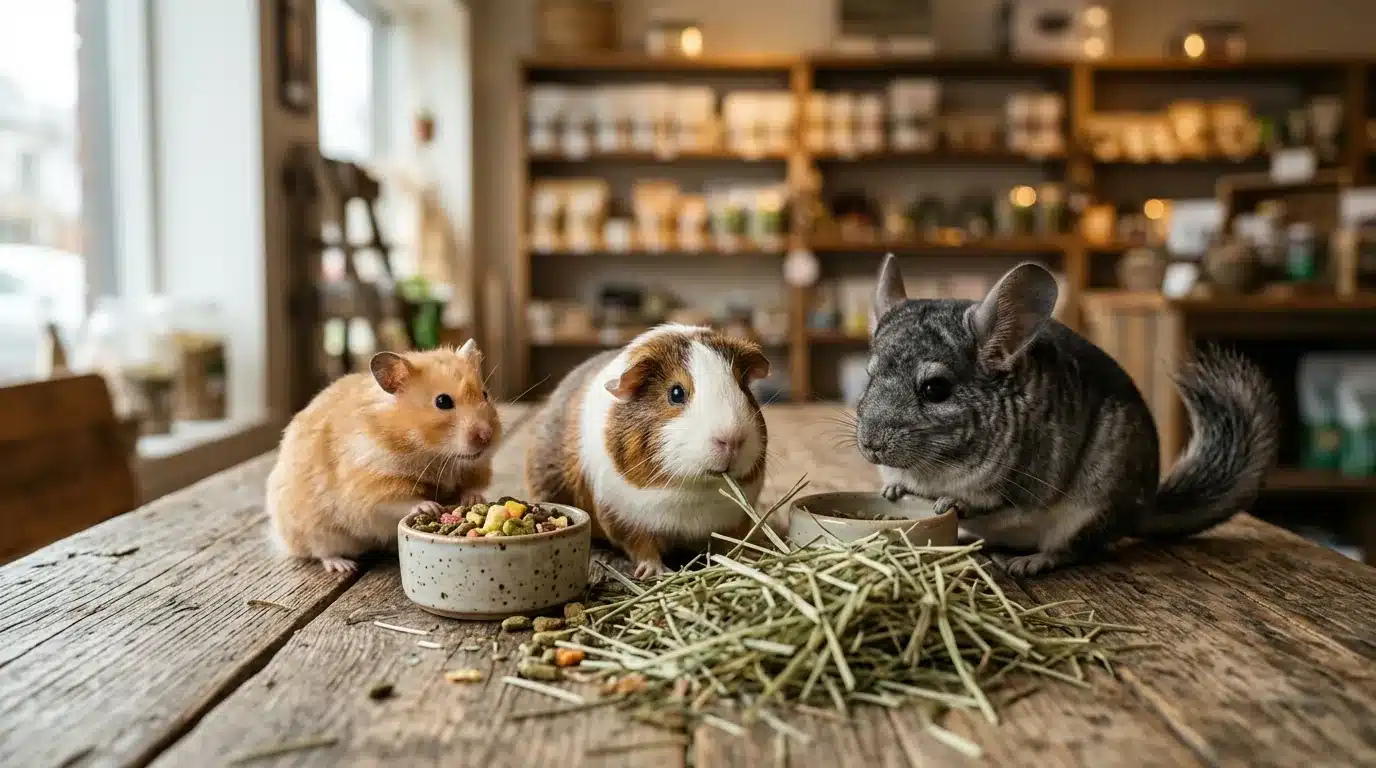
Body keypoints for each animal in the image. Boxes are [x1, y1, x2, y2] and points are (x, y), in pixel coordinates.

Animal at [266, 340, 502, 573]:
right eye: (443, 401)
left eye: (484, 394)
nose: (487, 436)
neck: (436, 454)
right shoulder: (371, 484)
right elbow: (399, 500)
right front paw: (429, 506)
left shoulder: (475, 468)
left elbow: (471, 486)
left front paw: (474, 499)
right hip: (316, 531)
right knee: (320, 552)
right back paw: (344, 566)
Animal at [525, 324, 771, 578]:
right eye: (676, 393)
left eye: (743, 388)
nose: (732, 439)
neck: (697, 489)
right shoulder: (621, 517)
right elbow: (642, 546)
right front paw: (655, 572)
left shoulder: (736, 519)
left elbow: (731, 542)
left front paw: (747, 557)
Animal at [855, 257, 1278, 577]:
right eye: (869, 376)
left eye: (935, 389)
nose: (870, 446)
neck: (934, 468)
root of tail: (1141, 512)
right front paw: (892, 490)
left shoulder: (1026, 478)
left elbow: (990, 501)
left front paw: (951, 504)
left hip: (1092, 507)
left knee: (1072, 550)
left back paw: (1029, 563)